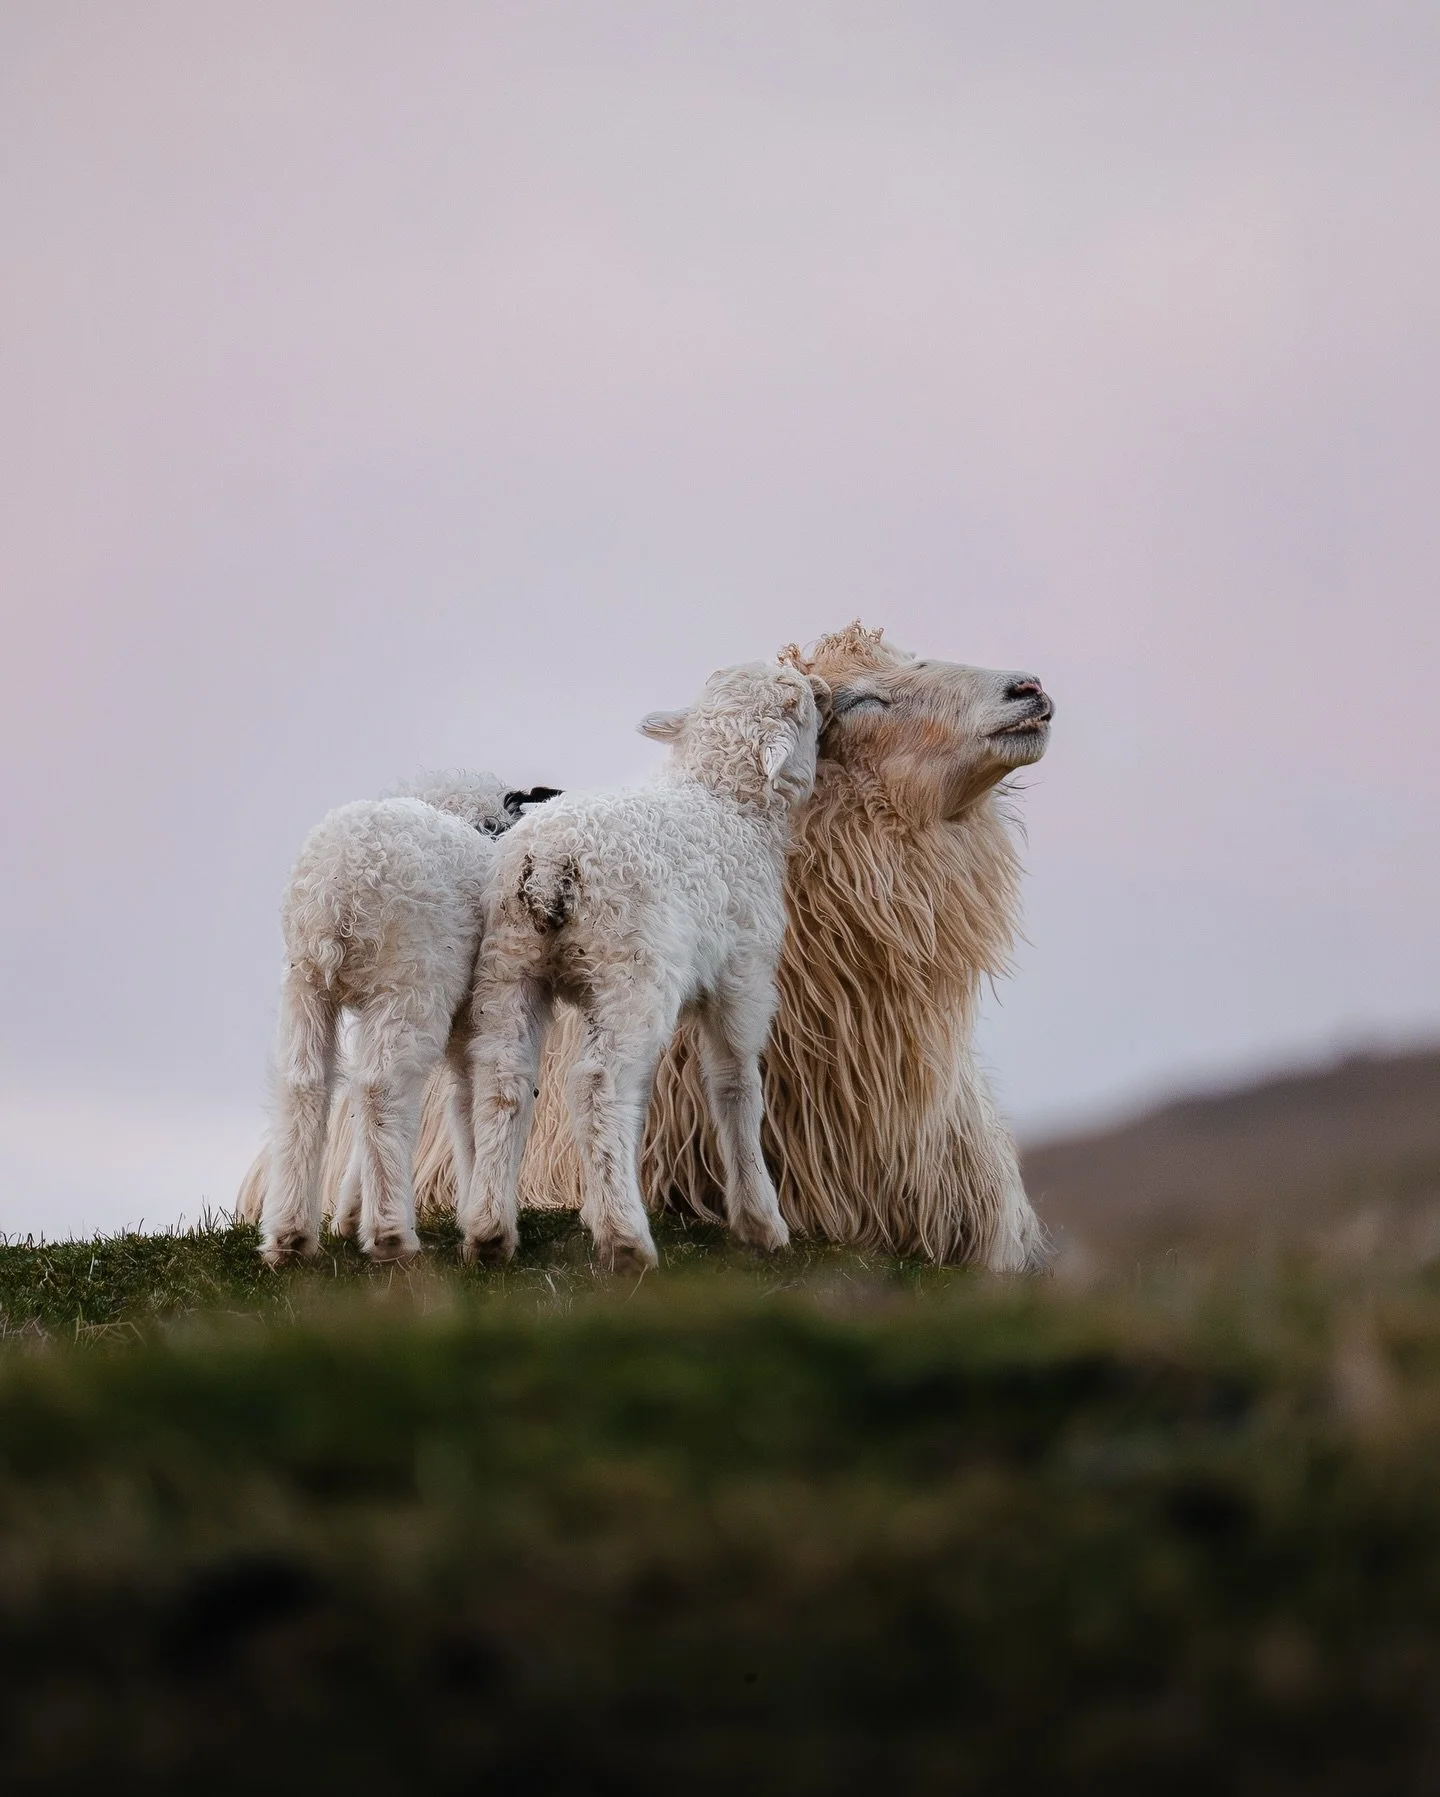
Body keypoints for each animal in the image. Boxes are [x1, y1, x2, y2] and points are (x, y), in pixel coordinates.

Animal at [260, 773, 559, 1266]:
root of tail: (341, 886)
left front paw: (349, 1214)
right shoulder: (471, 1013)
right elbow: (467, 1103)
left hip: (305, 983)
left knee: (304, 1086)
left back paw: (290, 1237)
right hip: (410, 981)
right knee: (382, 1090)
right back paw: (391, 1234)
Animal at [457, 661, 829, 1274]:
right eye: (801, 704)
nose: (822, 688)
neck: (724, 800)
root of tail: (551, 863)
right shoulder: (742, 973)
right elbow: (736, 1084)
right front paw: (761, 1222)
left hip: (511, 964)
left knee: (504, 1080)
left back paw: (490, 1232)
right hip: (628, 968)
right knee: (598, 1087)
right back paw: (626, 1239)